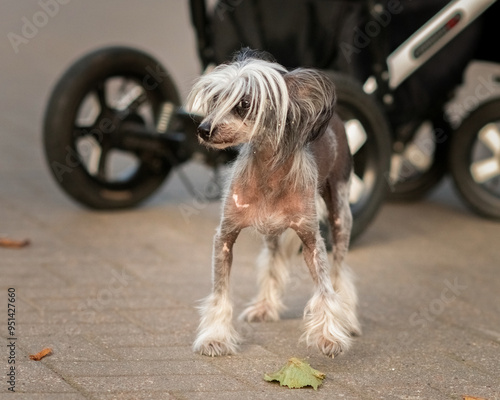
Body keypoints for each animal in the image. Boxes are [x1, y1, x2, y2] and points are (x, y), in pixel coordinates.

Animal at [187, 48, 360, 358]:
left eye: (244, 103)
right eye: (215, 99)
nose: (204, 129)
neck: (269, 171)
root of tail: (337, 118)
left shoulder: (312, 242)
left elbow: (325, 289)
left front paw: (329, 335)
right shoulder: (225, 238)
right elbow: (220, 292)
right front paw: (215, 337)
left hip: (341, 216)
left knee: (340, 272)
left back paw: (348, 320)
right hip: (271, 233)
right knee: (272, 261)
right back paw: (265, 306)